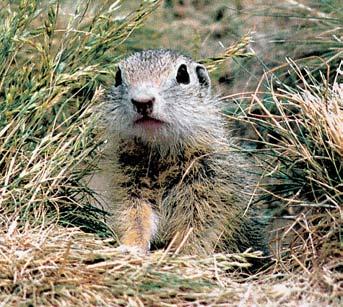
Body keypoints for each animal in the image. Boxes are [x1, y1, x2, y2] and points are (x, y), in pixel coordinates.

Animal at [101, 49, 270, 256]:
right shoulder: (130, 185)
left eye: (183, 74)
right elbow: (135, 218)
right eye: (118, 77)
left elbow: (197, 227)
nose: (142, 101)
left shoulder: (208, 190)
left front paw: (178, 252)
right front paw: (130, 247)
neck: (162, 153)